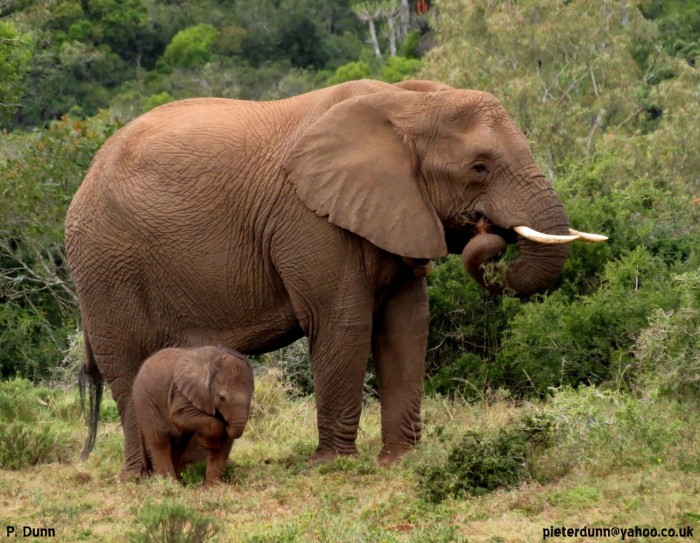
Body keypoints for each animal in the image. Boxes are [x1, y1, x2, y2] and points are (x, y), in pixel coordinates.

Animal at [131, 346, 254, 486]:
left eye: (251, 397)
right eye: (221, 398)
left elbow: (227, 440)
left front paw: (213, 487)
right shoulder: (184, 391)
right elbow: (178, 415)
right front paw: (208, 443)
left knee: (178, 444)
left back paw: (177, 481)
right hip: (145, 402)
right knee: (159, 440)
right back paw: (172, 484)